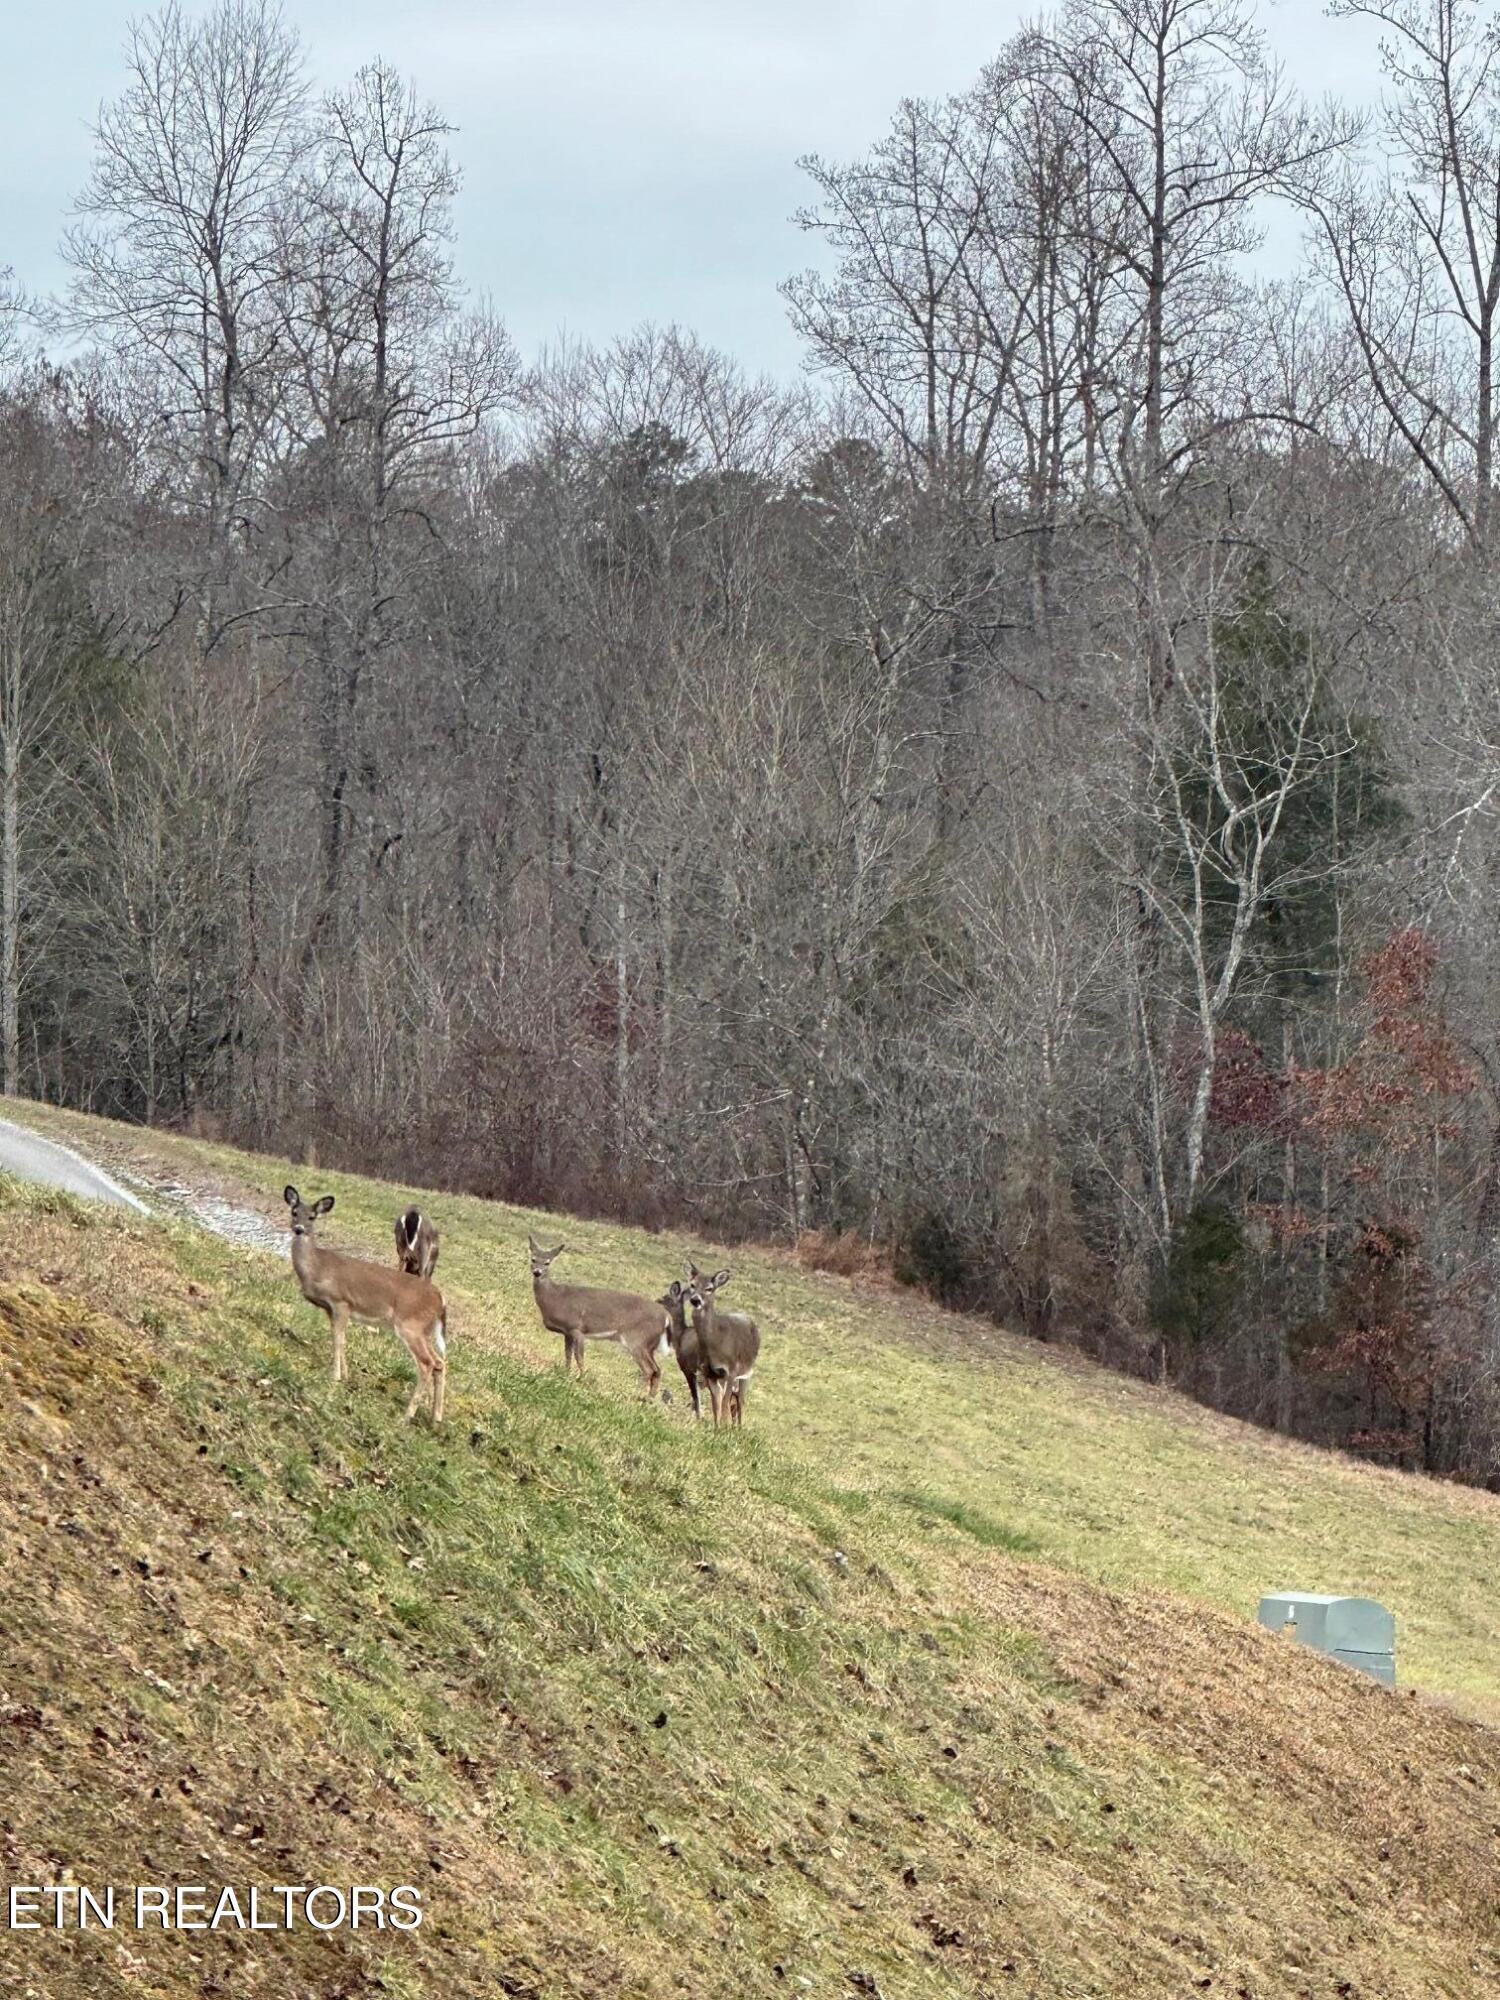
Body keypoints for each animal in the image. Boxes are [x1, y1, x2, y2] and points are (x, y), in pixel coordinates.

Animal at [284, 1187, 447, 1422]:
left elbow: (339, 1340)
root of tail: (440, 1299)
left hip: (410, 1324)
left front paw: (335, 1376)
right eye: (294, 1212)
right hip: (423, 1329)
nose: (298, 1229)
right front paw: (345, 1375)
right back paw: (436, 1417)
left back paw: (407, 1415)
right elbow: (339, 1338)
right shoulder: (330, 1309)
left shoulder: (342, 1302)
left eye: (312, 1217)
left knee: (427, 1363)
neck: (317, 1268)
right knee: (440, 1363)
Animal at [527, 1234, 670, 1397]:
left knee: (649, 1370)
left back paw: (638, 1395)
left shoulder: (577, 1328)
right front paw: (565, 1373)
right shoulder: (567, 1332)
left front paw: (581, 1378)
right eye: (533, 1259)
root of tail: (666, 1317)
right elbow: (567, 1355)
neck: (556, 1297)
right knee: (657, 1370)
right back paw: (649, 1398)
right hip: (649, 1344)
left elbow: (579, 1357)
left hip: (637, 1339)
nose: (537, 1272)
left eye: (547, 1262)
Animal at [684, 1262, 760, 1427]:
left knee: (741, 1401)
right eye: (692, 1284)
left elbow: (725, 1402)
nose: (695, 1300)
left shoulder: (731, 1370)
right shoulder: (709, 1373)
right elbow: (716, 1403)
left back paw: (738, 1428)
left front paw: (724, 1428)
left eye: (709, 1288)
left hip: (747, 1373)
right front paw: (717, 1427)